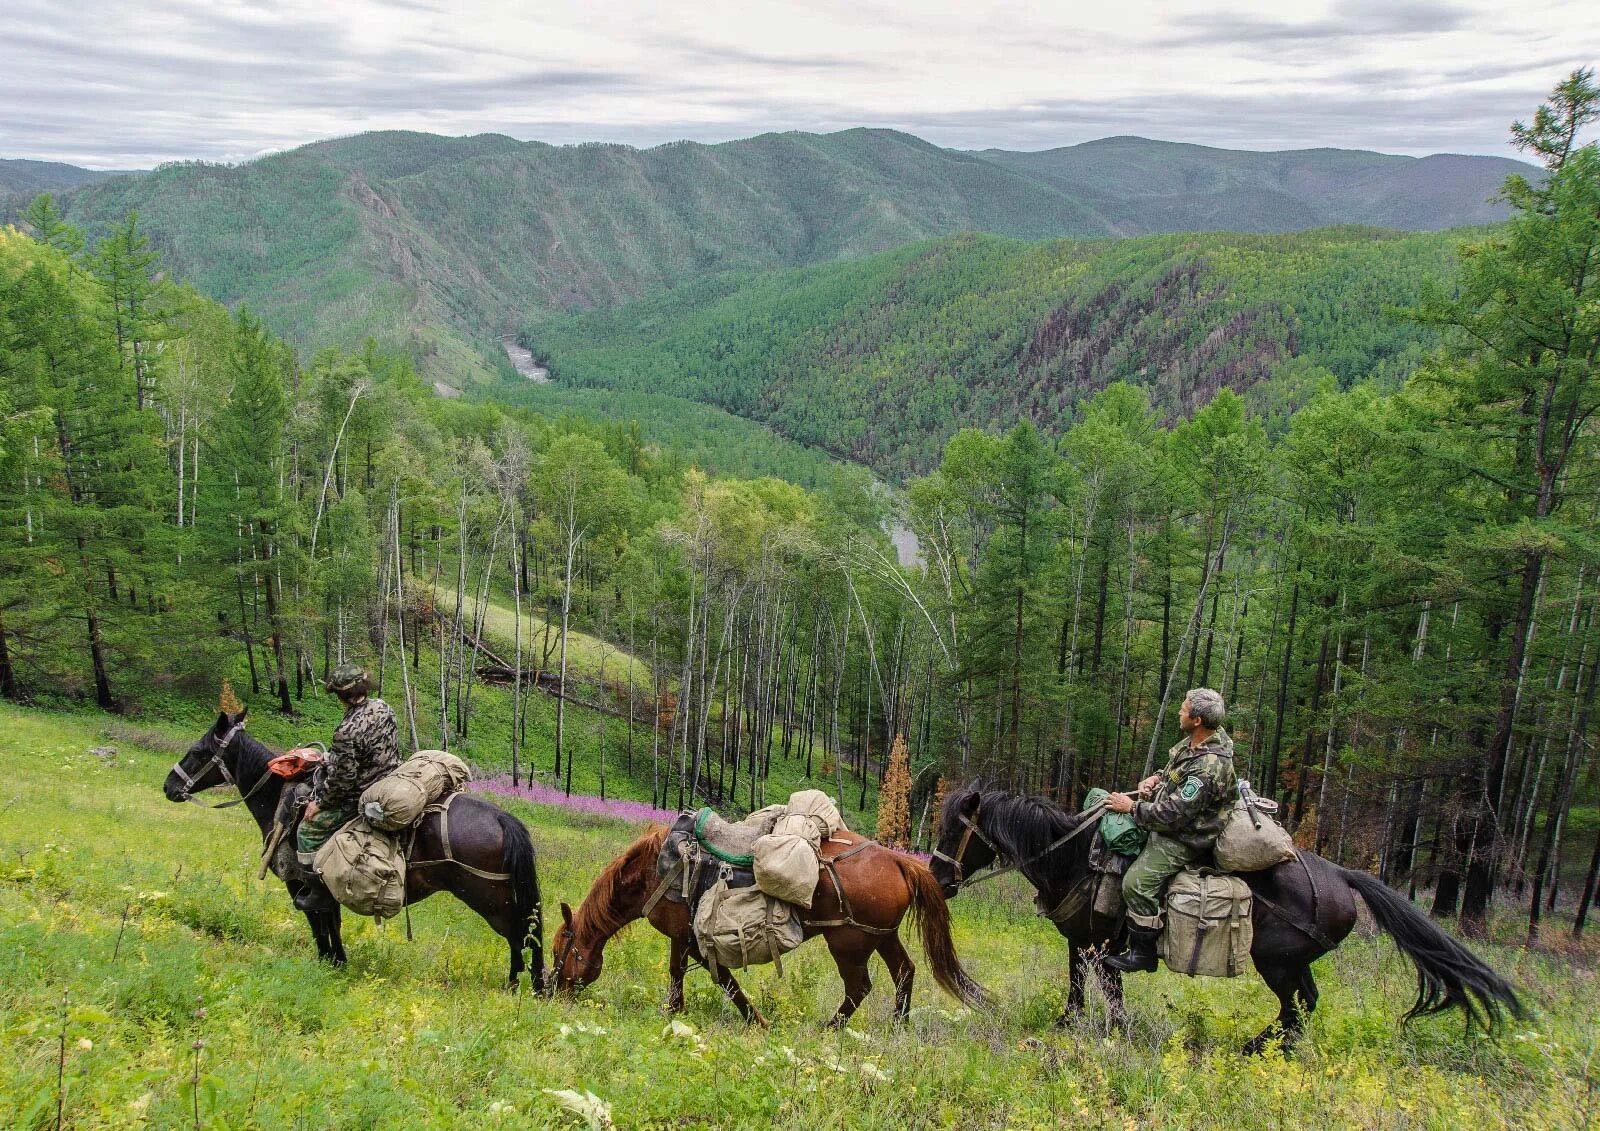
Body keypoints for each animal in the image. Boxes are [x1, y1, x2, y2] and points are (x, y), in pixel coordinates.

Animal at [163, 707, 547, 991]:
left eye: (198, 751)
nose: (169, 786)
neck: (281, 800)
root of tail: (501, 817)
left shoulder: (300, 884)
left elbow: (319, 925)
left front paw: (328, 961)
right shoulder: (323, 891)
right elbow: (331, 923)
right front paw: (337, 962)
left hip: (488, 897)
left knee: (519, 934)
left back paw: (519, 985)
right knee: (525, 933)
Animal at [553, 825, 985, 1023]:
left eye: (560, 951)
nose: (550, 990)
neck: (651, 873)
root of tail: (897, 859)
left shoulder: (694, 941)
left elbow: (724, 981)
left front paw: (755, 1021)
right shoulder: (682, 936)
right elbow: (677, 972)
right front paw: (674, 1010)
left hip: (848, 943)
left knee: (860, 987)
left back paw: (830, 1029)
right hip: (881, 937)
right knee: (905, 972)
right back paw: (898, 1026)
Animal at [934, 787, 1516, 1055]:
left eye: (954, 831)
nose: (938, 878)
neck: (1075, 858)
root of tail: (1343, 876)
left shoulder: (1104, 946)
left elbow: (1110, 991)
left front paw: (1117, 1034)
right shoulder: (1080, 942)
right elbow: (1077, 987)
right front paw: (1068, 1025)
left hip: (1274, 963)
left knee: (1295, 1006)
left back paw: (1255, 1048)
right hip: (1293, 961)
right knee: (1306, 1003)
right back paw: (1272, 1048)